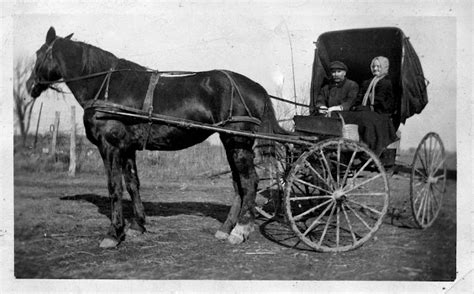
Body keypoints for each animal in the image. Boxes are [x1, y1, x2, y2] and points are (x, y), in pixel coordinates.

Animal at [25, 27, 286, 248]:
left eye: (39, 54)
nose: (29, 86)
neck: (106, 87)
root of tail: (256, 87)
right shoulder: (127, 148)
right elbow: (132, 184)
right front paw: (137, 226)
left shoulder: (110, 147)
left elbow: (114, 187)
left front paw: (113, 233)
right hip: (230, 142)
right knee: (238, 184)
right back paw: (226, 228)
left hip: (237, 143)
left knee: (249, 181)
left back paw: (240, 230)